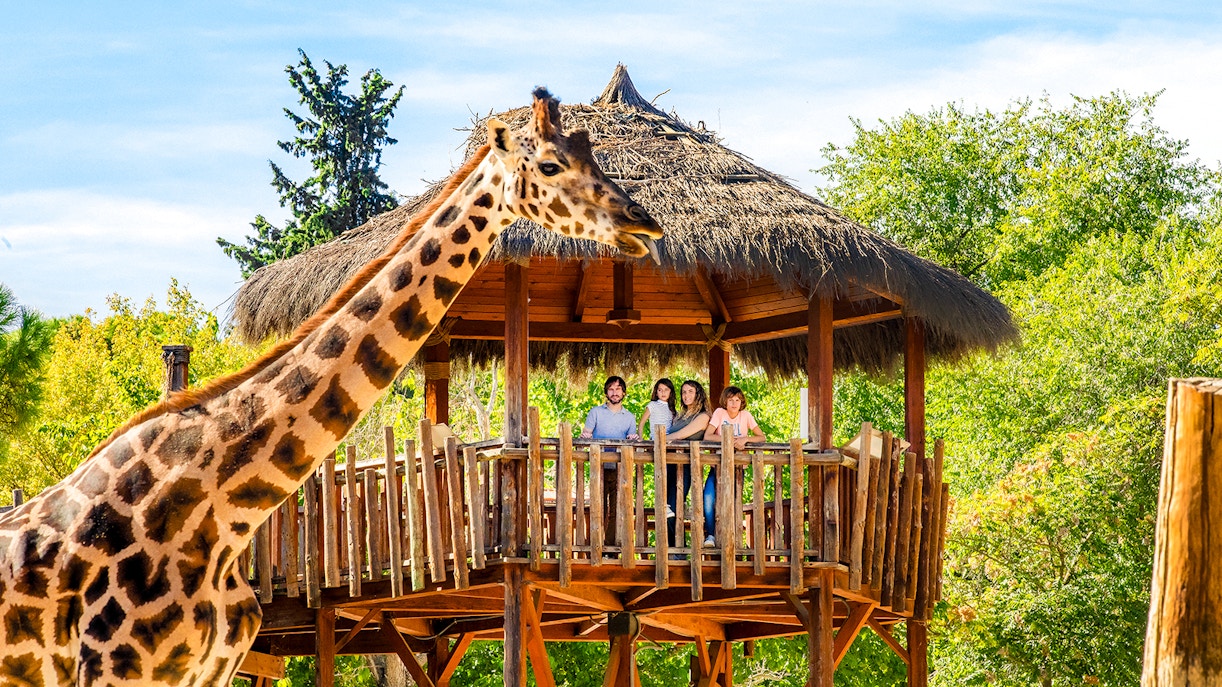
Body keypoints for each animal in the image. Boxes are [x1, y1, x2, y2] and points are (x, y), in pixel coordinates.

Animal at [0, 88, 662, 687]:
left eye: (592, 152)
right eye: (549, 164)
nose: (644, 224)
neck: (218, 506)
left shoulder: (207, 670)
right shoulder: (117, 668)